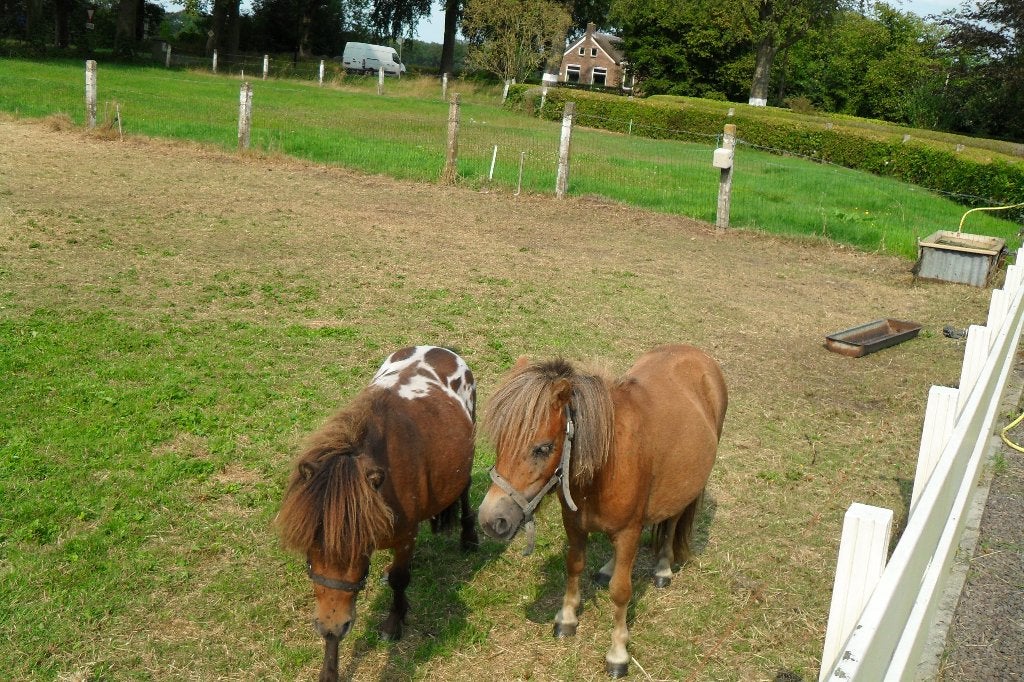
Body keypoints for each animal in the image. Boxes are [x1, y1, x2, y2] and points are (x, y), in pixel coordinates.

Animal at [277, 346, 478, 682]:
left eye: (359, 552)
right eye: (310, 549)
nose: (331, 624)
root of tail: (439, 349)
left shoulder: (405, 536)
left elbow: (399, 579)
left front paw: (394, 623)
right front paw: (329, 668)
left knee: (464, 490)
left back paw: (469, 537)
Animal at [477, 344, 727, 678]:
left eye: (543, 448)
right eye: (501, 442)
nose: (492, 520)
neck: (609, 461)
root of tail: (697, 354)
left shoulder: (629, 530)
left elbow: (621, 591)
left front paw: (618, 652)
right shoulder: (574, 523)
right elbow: (574, 566)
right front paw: (567, 618)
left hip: (685, 488)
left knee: (672, 523)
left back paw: (663, 568)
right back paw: (609, 566)